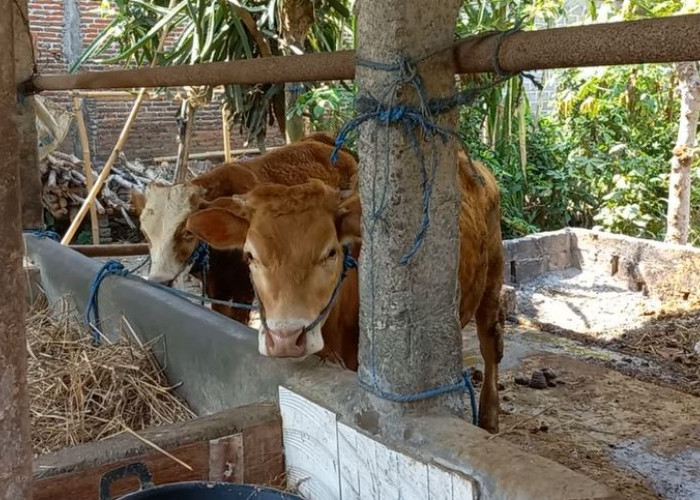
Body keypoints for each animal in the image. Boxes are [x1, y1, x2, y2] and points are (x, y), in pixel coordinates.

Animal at [186, 153, 504, 434]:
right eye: (250, 255)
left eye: (330, 252)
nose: (286, 339)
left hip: (493, 276)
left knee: (490, 344)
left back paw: (489, 416)